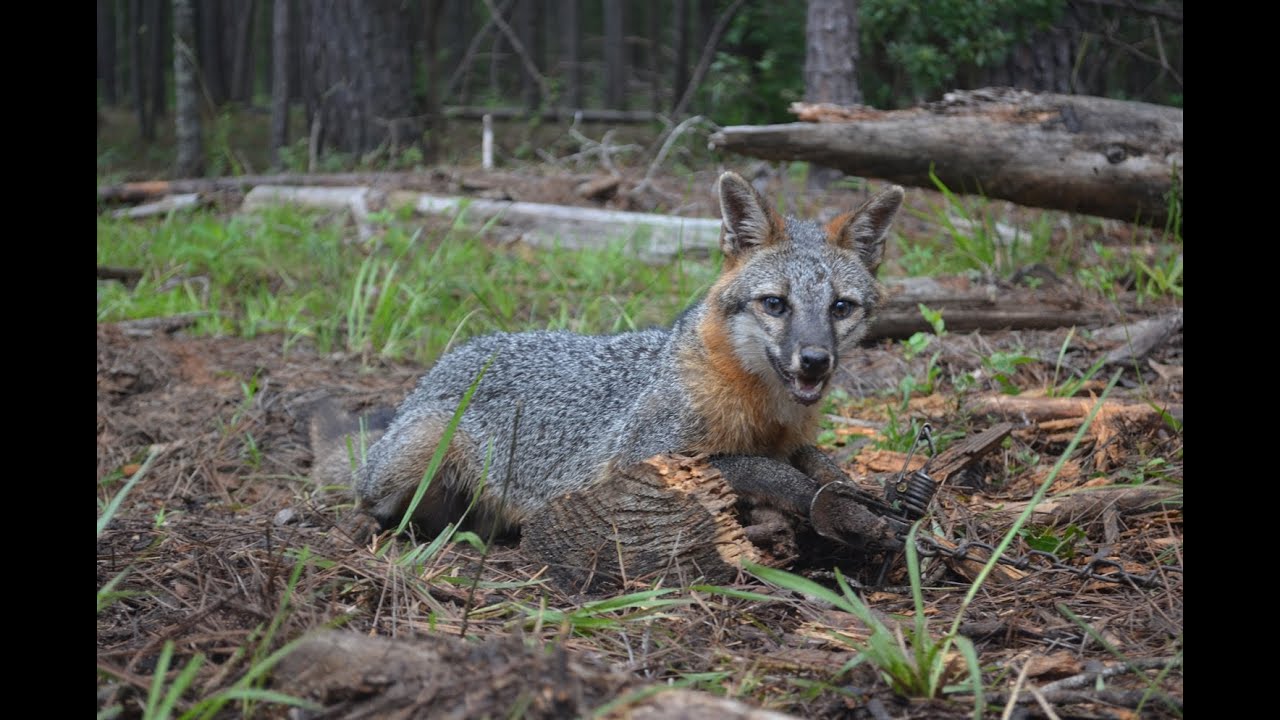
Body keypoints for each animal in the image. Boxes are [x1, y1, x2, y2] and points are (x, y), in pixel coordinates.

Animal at [311, 171, 905, 550]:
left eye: (840, 307)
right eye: (776, 304)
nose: (815, 361)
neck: (764, 408)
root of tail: (445, 362)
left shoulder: (791, 438)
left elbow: (815, 459)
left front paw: (854, 493)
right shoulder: (647, 458)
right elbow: (763, 468)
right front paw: (829, 504)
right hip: (420, 453)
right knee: (368, 499)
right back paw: (360, 527)